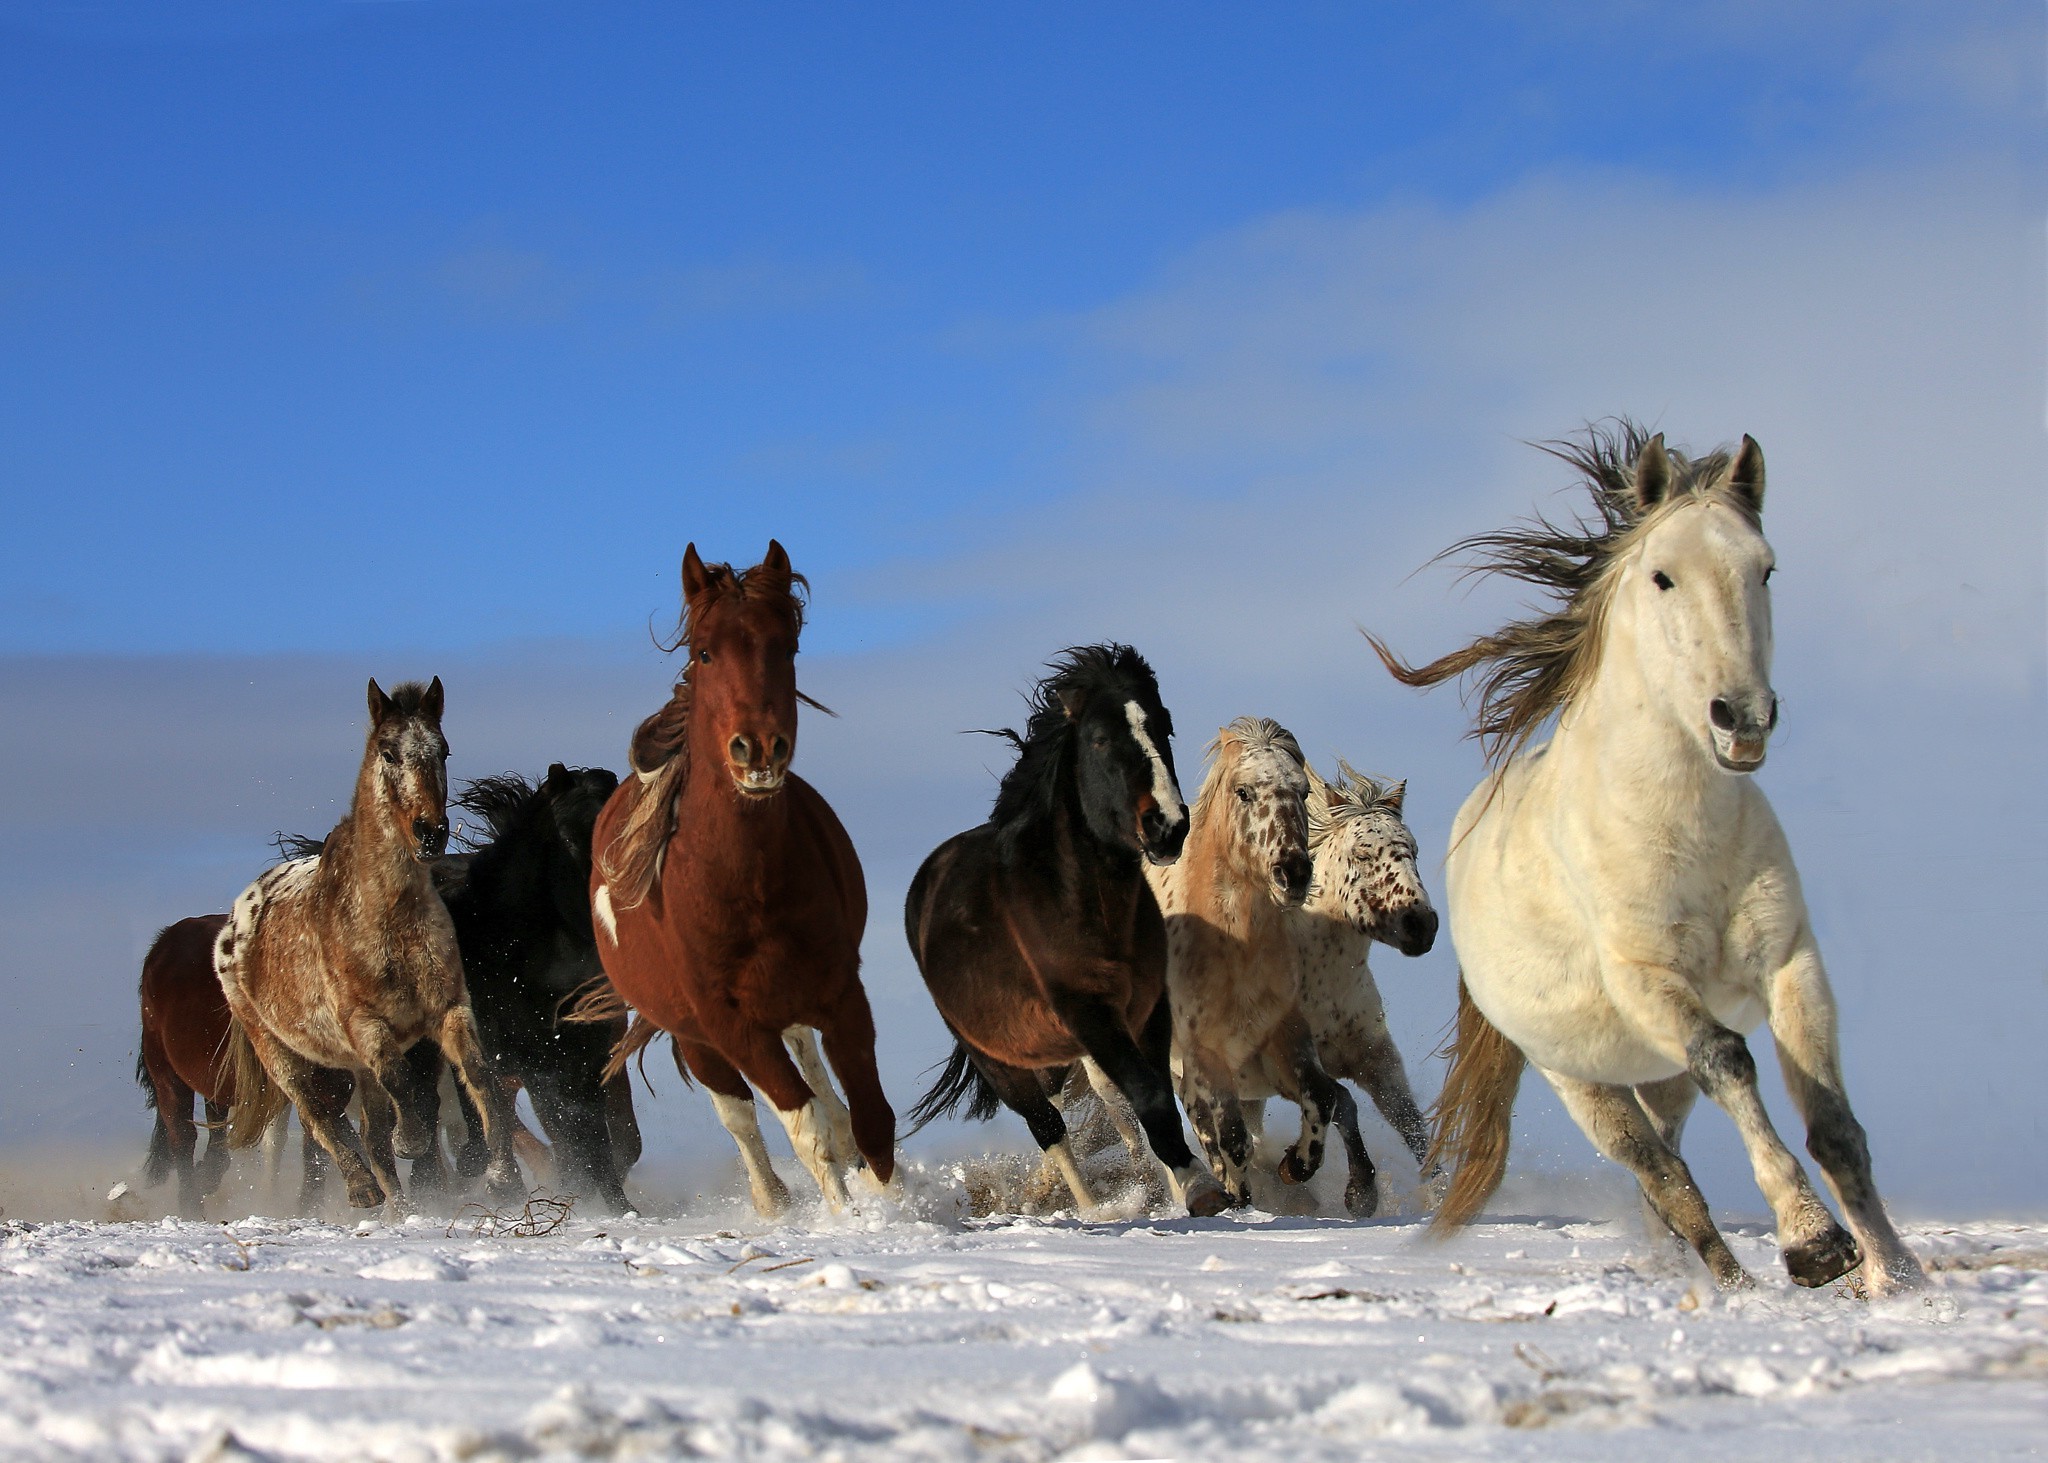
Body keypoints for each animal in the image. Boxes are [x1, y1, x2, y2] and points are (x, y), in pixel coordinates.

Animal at [215, 677, 524, 1214]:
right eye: (388, 752)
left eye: (443, 749)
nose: (430, 832)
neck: (388, 919)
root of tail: (235, 920)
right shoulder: (367, 1026)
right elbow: (402, 1084)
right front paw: (412, 1140)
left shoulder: (449, 1009)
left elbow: (479, 1074)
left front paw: (502, 1175)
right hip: (280, 1052)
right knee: (318, 1117)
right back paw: (362, 1188)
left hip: (355, 1065)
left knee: (368, 1135)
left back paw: (400, 1207)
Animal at [430, 765, 641, 1212]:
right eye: (568, 837)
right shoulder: (496, 1046)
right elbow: (491, 1100)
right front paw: (501, 1179)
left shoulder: (580, 1054)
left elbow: (593, 1135)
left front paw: (617, 1206)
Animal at [587, 541, 893, 1215]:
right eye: (705, 651)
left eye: (788, 647)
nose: (758, 749)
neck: (746, 884)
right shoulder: (731, 1026)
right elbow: (803, 1129)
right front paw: (851, 1219)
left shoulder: (841, 991)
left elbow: (870, 1117)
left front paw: (899, 1208)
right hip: (697, 1038)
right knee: (742, 1118)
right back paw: (771, 1202)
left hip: (791, 1006)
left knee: (824, 1087)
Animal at [904, 644, 1229, 1219]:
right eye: (1098, 739)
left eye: (1164, 726)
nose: (1168, 826)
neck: (1084, 905)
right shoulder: (1088, 1012)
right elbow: (1148, 1095)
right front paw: (1199, 1188)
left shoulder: (1147, 1007)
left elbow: (1155, 1093)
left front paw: (1184, 1187)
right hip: (1000, 1061)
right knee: (1047, 1126)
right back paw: (1093, 1212)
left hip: (1046, 1046)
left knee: (1072, 1102)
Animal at [1370, 422, 1924, 1296]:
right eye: (1663, 575)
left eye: (1766, 568)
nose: (1742, 719)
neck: (1682, 832)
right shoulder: (1648, 980)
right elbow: (1731, 1061)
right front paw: (1814, 1242)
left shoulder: (1791, 963)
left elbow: (1834, 1121)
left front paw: (1899, 1272)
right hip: (1582, 1080)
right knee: (1663, 1173)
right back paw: (1728, 1281)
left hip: (1654, 1071)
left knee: (1669, 1160)